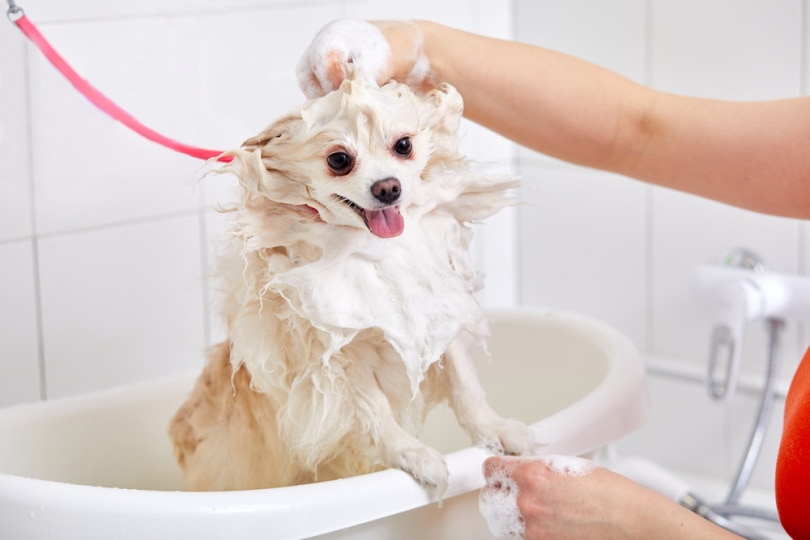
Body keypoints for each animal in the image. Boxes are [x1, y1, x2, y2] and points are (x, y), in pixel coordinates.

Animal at [168, 71, 540, 494]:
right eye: (339, 160)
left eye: (403, 145)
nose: (388, 187)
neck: (373, 250)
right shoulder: (338, 353)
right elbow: (373, 410)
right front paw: (412, 454)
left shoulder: (433, 316)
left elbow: (466, 386)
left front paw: (496, 429)